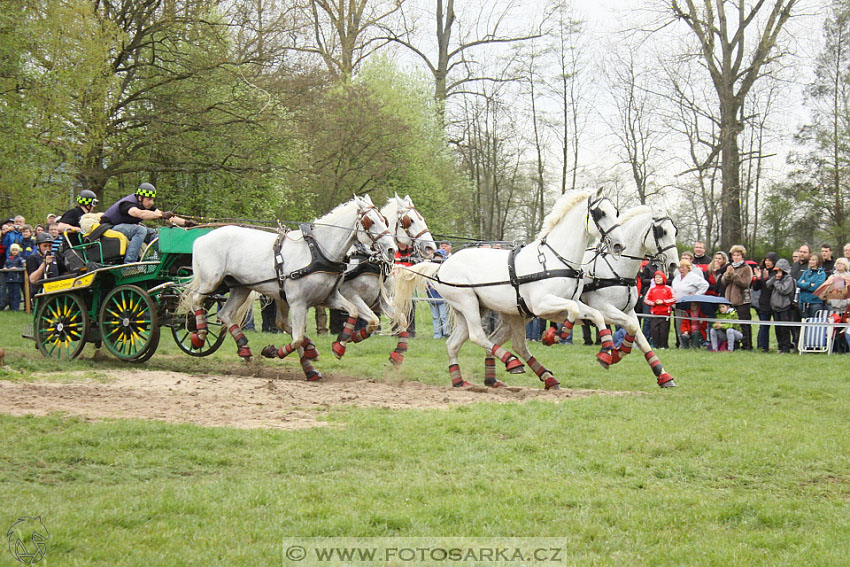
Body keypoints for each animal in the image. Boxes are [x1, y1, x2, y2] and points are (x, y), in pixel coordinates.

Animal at [182, 195, 394, 382]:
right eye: (370, 221)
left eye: (384, 220)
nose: (391, 250)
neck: (318, 252)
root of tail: (201, 238)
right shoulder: (298, 302)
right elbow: (297, 338)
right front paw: (273, 351)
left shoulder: (329, 298)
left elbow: (359, 314)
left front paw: (340, 344)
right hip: (212, 281)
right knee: (195, 299)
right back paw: (200, 335)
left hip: (242, 288)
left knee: (226, 314)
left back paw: (246, 348)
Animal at [330, 195, 438, 360]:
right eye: (410, 220)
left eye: (422, 218)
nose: (431, 248)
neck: (370, 259)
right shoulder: (352, 296)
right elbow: (373, 320)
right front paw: (345, 341)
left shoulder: (381, 301)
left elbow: (401, 319)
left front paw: (398, 352)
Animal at [390, 191, 624, 390]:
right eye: (600, 213)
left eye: (616, 212)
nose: (619, 245)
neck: (555, 259)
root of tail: (441, 266)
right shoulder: (542, 305)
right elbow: (573, 313)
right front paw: (556, 335)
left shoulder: (566, 304)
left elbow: (595, 314)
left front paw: (606, 351)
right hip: (468, 303)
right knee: (479, 336)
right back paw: (512, 363)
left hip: (483, 310)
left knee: (455, 344)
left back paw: (462, 381)